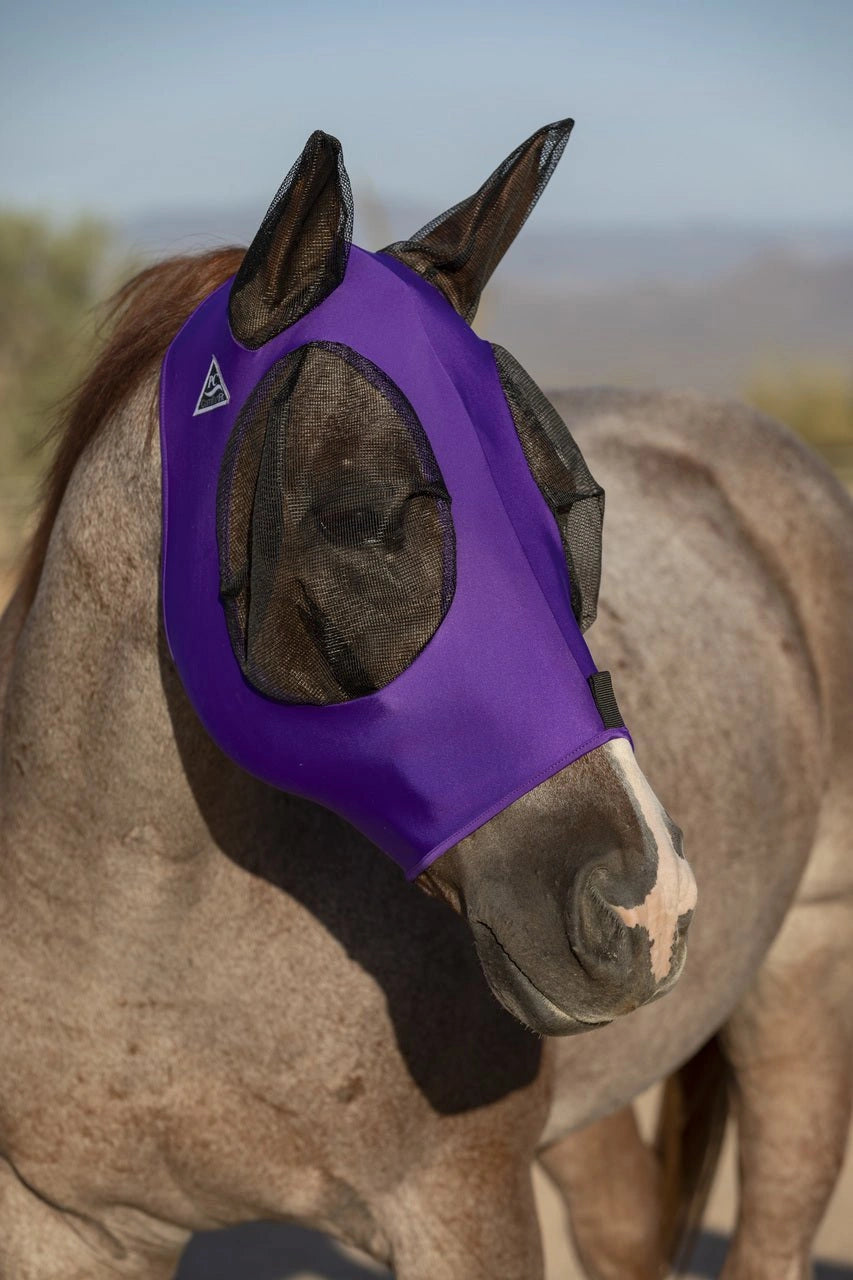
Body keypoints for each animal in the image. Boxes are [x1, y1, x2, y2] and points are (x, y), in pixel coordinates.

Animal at [0, 123, 850, 1280]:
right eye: (363, 515)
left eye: (573, 511)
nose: (647, 901)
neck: (141, 941)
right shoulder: (65, 1223)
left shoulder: (462, 1208)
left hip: (804, 978)